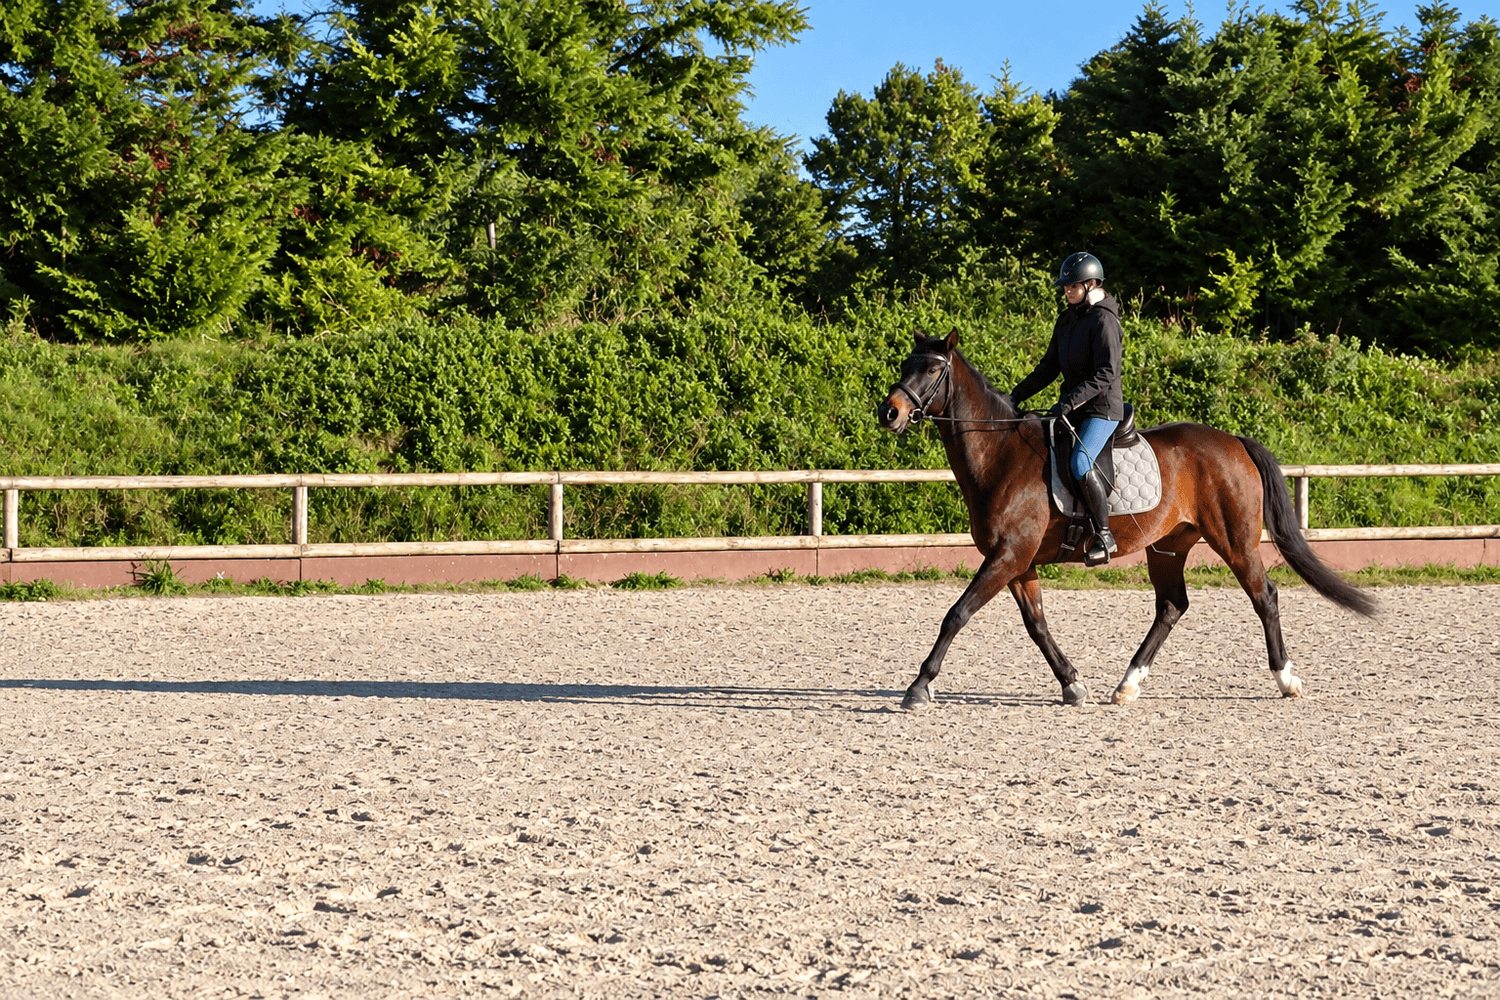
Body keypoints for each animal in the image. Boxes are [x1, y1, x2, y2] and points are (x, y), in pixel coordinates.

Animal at [877, 329, 1378, 708]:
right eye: (905, 364)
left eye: (932, 369)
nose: (889, 412)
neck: (1000, 454)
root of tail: (1234, 441)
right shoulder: (1018, 562)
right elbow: (1037, 625)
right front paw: (1072, 684)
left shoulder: (1008, 557)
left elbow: (956, 614)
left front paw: (918, 687)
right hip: (1169, 546)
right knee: (1172, 606)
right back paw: (1127, 685)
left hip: (1234, 541)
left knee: (1264, 597)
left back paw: (1286, 679)